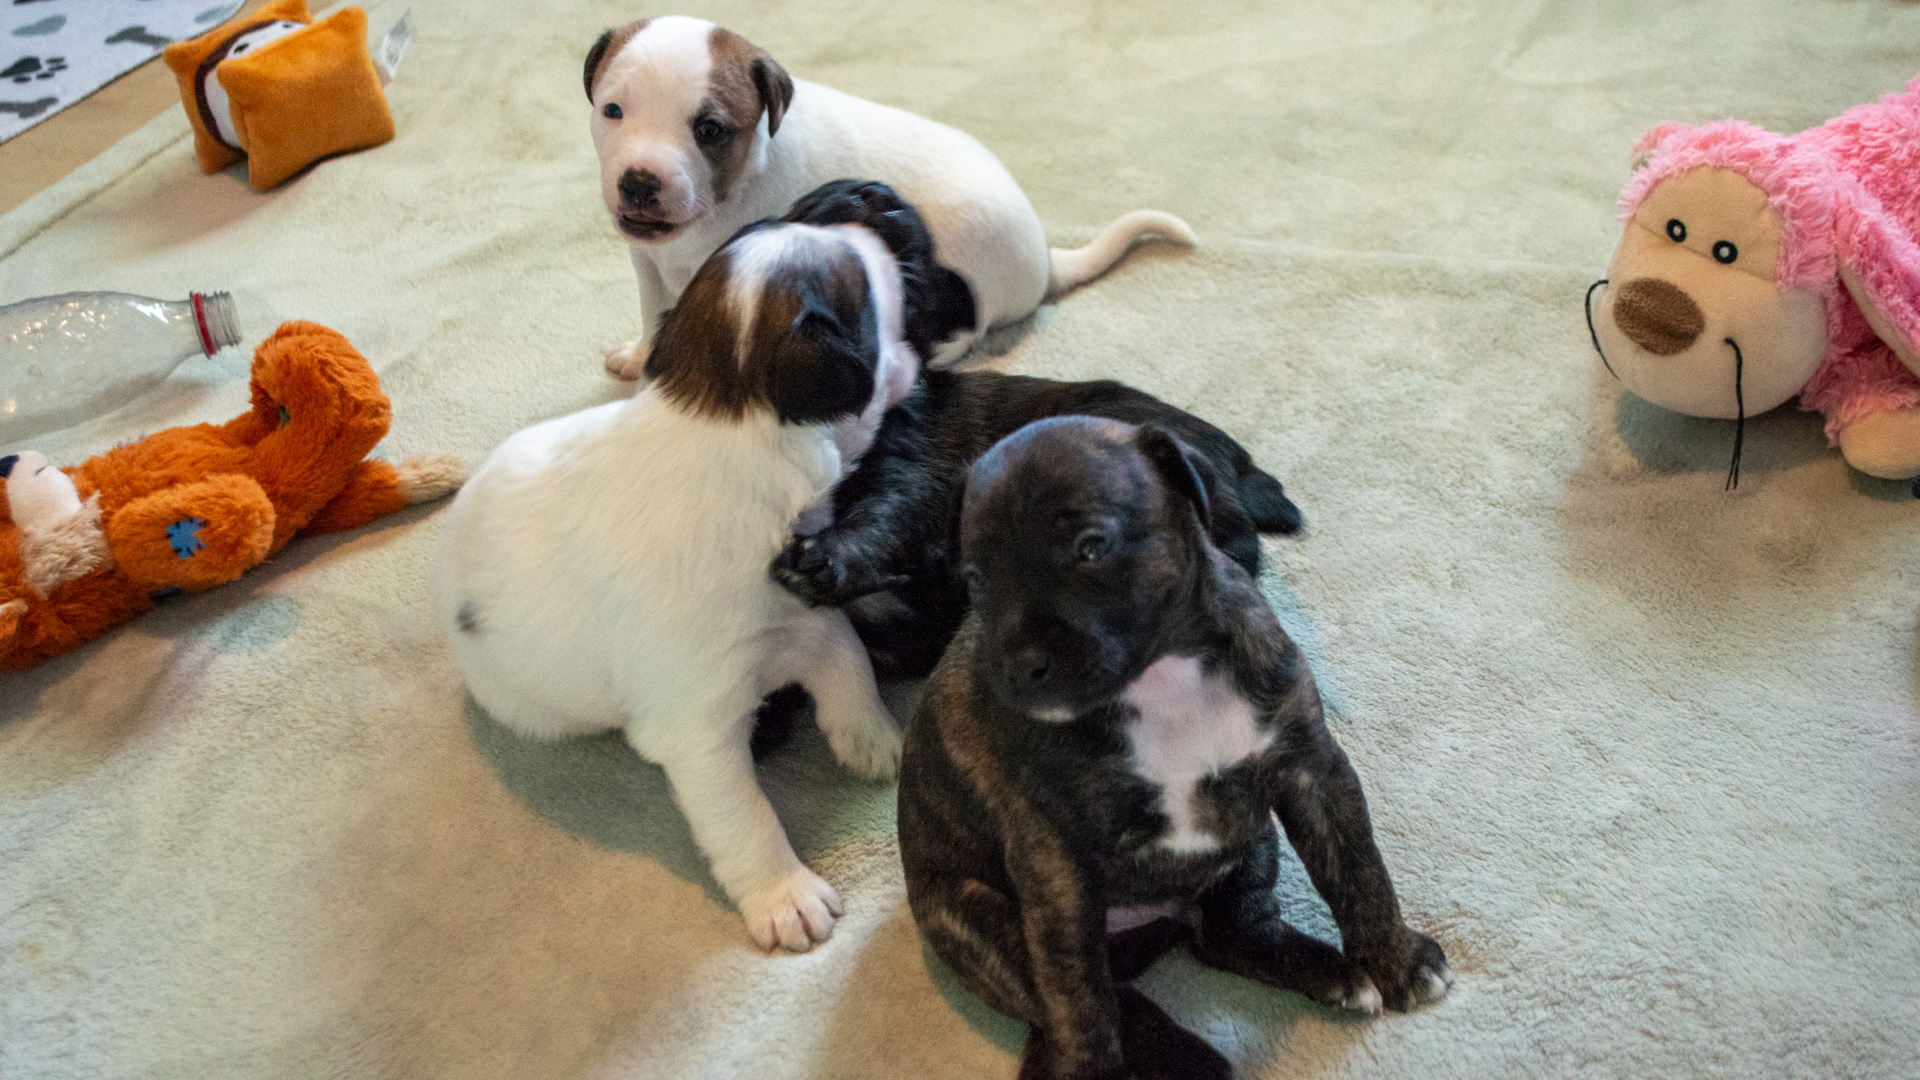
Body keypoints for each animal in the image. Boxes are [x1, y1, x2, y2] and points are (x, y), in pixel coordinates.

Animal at [430, 214, 920, 954]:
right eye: (860, 281)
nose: (876, 227)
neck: (725, 426)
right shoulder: (699, 727)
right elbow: (746, 815)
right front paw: (785, 894)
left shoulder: (807, 612)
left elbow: (851, 665)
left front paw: (873, 738)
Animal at [584, 15, 1196, 377]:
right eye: (612, 110)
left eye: (709, 130)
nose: (638, 182)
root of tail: (1047, 258)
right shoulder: (646, 262)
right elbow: (652, 309)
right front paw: (641, 357)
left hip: (960, 268)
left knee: (970, 327)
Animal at [897, 417, 1451, 1079]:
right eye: (975, 581)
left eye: (1090, 548)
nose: (1019, 666)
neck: (1160, 675)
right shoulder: (1055, 862)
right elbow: (1077, 998)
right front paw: (1094, 1068)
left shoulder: (1309, 768)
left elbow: (1358, 868)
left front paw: (1396, 962)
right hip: (981, 922)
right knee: (1085, 998)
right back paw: (1188, 1055)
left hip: (1251, 840)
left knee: (1229, 935)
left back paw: (1332, 974)